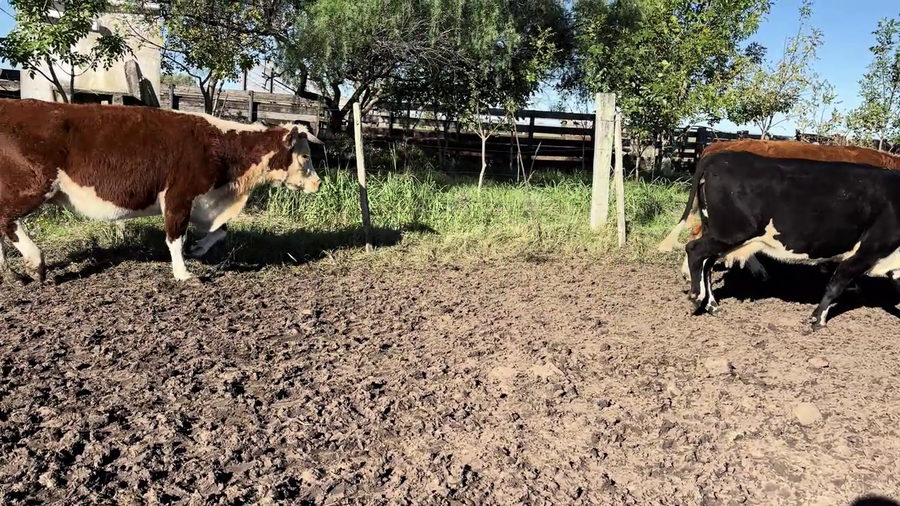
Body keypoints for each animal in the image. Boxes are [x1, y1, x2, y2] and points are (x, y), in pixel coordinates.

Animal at [0, 98, 323, 284]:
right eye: (305, 155)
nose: (318, 183)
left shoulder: (204, 202)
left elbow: (219, 231)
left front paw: (198, 249)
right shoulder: (179, 196)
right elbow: (175, 238)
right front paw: (183, 274)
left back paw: (10, 273)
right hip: (32, 185)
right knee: (7, 221)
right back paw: (35, 264)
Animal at [671, 147, 900, 330]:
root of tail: (721, 155)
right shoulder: (869, 250)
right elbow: (836, 283)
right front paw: (817, 319)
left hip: (722, 235)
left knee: (707, 263)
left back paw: (712, 305)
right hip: (730, 233)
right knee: (694, 250)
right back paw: (696, 298)